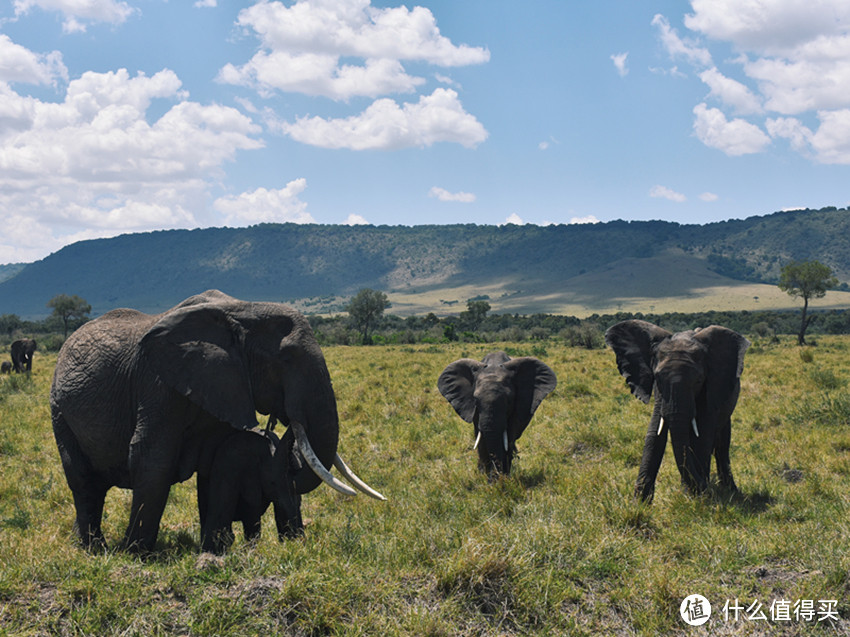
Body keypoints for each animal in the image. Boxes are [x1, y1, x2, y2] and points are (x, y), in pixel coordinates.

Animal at [604, 320, 748, 500]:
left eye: (698, 380)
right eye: (657, 378)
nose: (705, 487)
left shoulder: (711, 386)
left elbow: (703, 435)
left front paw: (695, 497)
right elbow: (654, 435)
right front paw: (639, 503)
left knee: (722, 444)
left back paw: (729, 489)